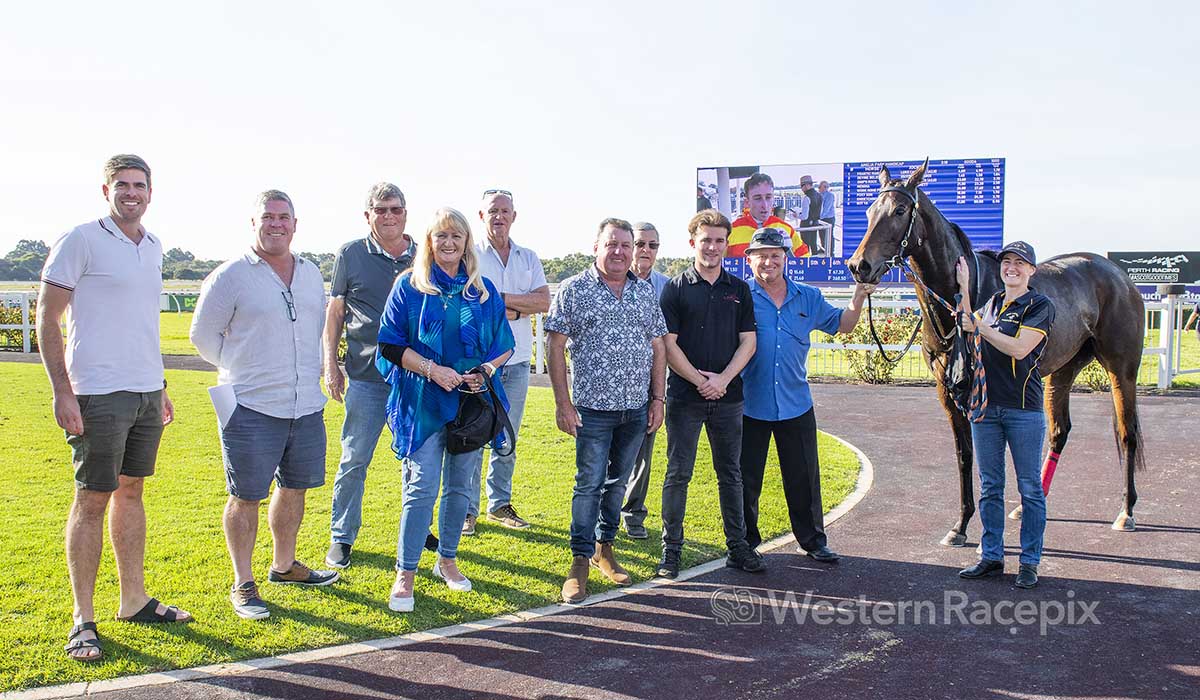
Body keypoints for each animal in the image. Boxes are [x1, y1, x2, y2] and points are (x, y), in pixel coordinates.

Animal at [844, 159, 1142, 547]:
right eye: (868, 211)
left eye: (899, 210)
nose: (858, 265)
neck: (960, 295)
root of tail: (1119, 275)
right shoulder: (946, 388)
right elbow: (964, 453)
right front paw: (960, 525)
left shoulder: (976, 390)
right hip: (1061, 371)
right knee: (1059, 431)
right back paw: (1029, 504)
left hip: (1122, 369)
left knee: (1126, 432)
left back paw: (1126, 511)